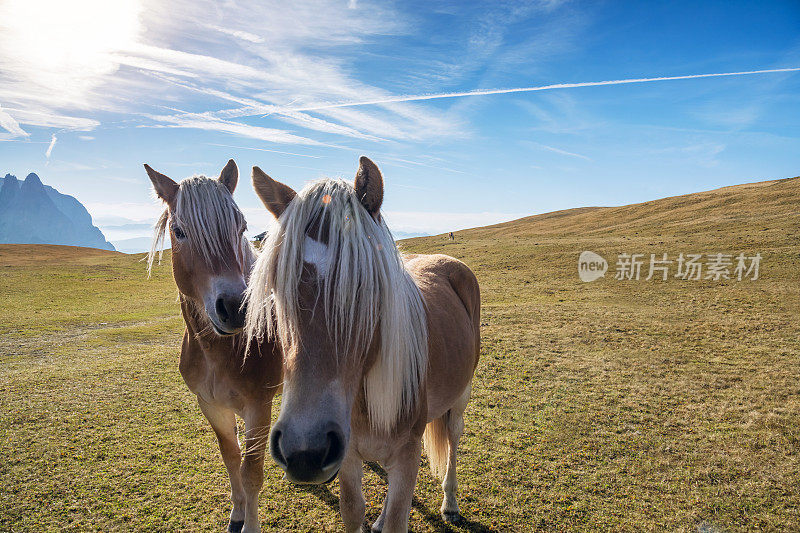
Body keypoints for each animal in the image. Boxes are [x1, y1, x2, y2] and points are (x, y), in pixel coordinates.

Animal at [145, 161, 282, 532]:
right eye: (179, 231)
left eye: (241, 226)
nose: (235, 307)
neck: (223, 352)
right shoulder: (210, 405)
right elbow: (231, 457)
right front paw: (237, 513)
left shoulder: (258, 408)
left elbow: (252, 473)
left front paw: (251, 525)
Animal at [247, 156, 478, 528]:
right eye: (275, 287)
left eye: (368, 287)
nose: (305, 450)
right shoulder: (349, 457)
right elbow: (354, 510)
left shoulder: (407, 453)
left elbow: (398, 517)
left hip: (460, 397)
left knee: (454, 439)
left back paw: (451, 504)